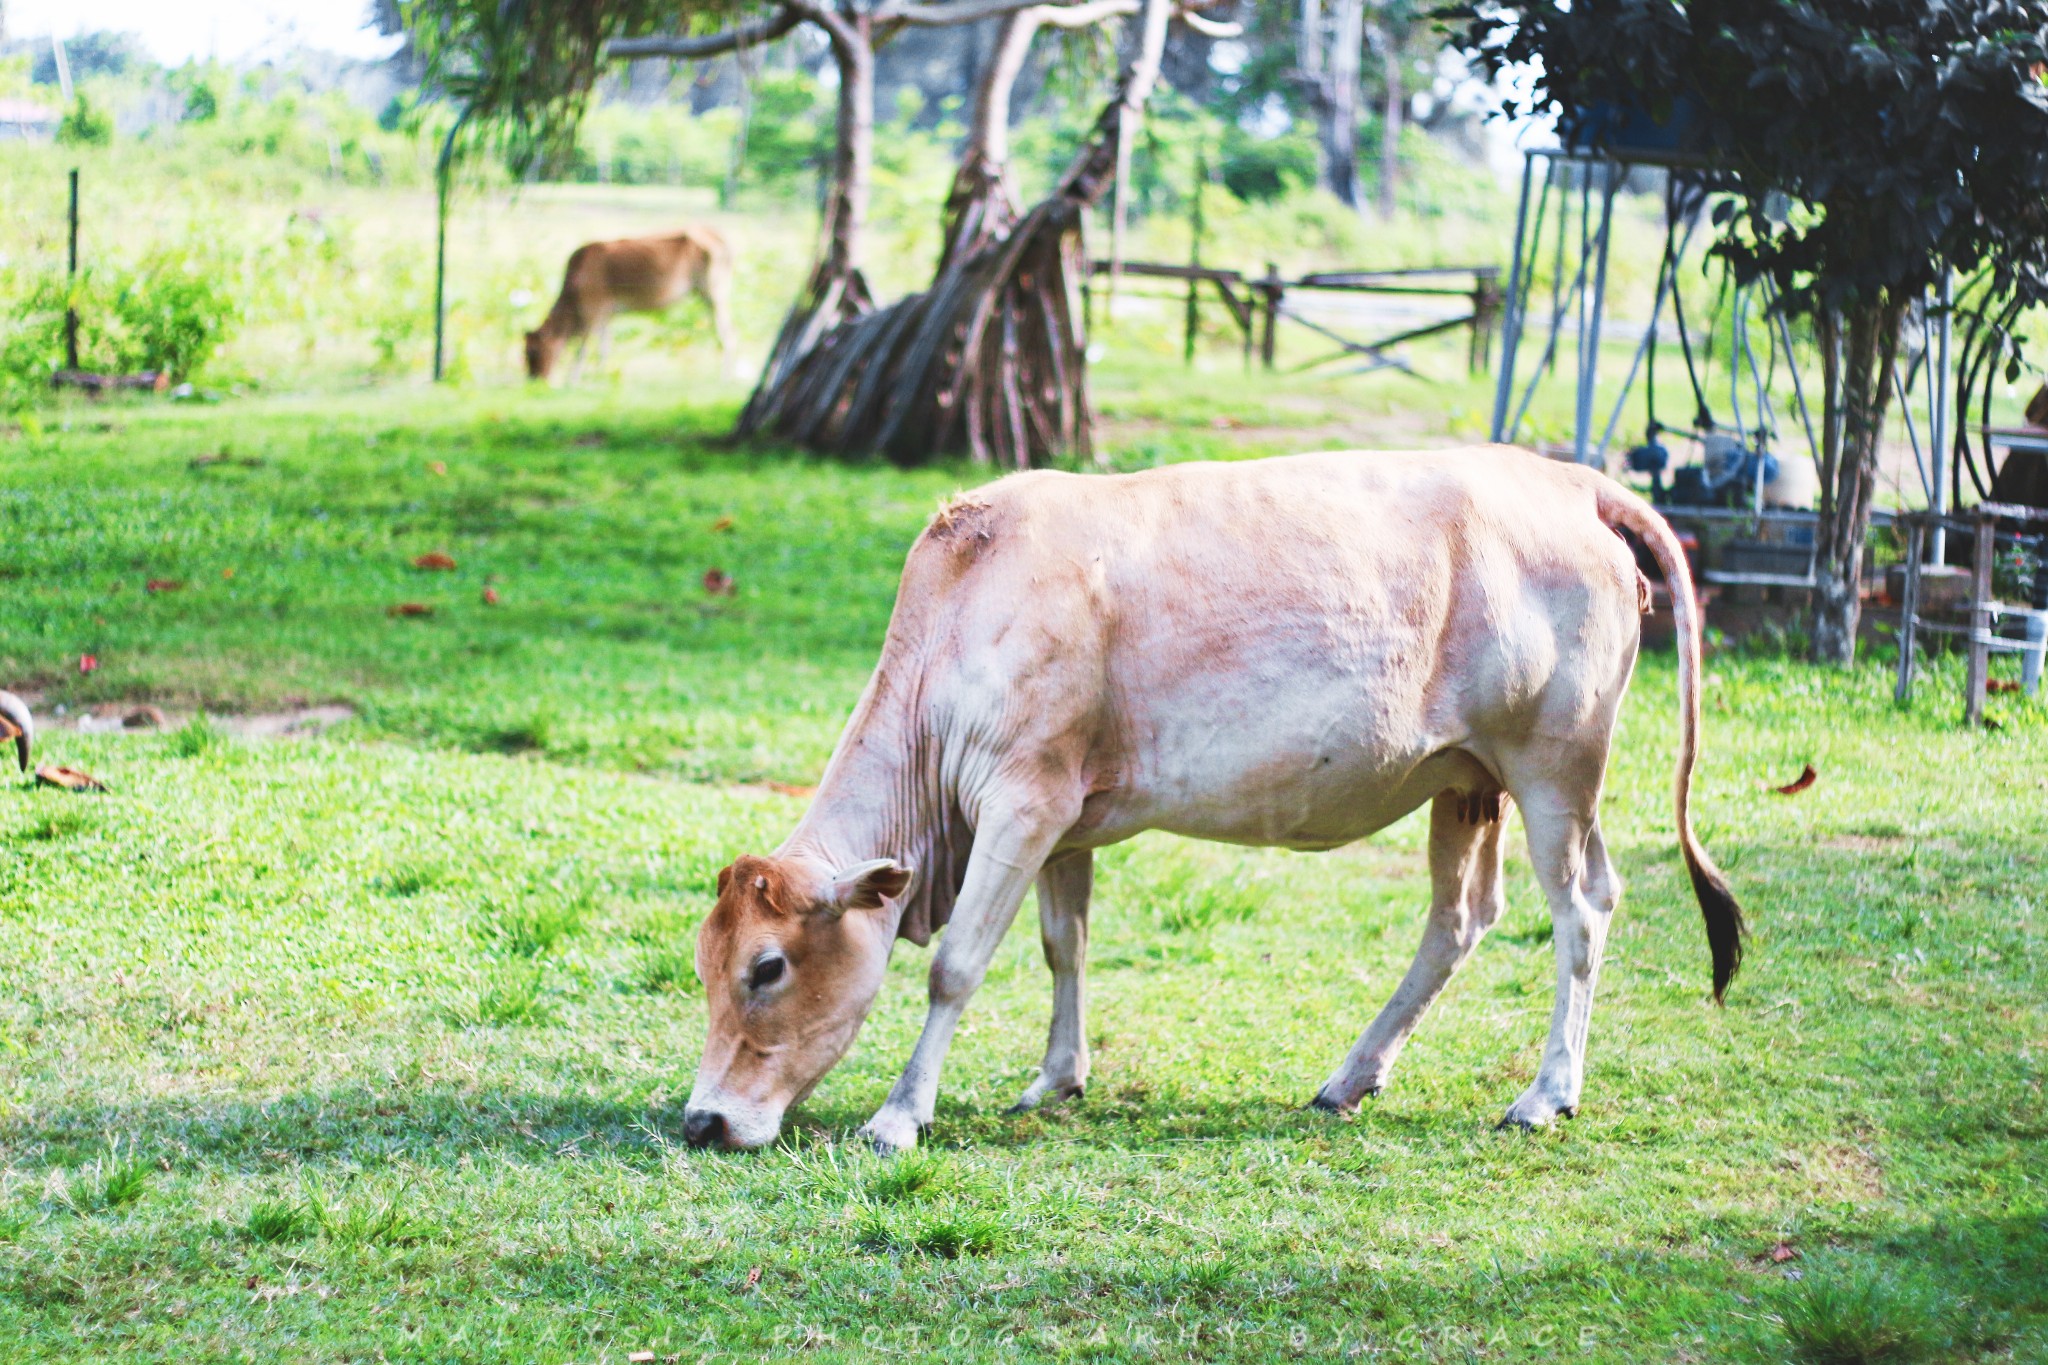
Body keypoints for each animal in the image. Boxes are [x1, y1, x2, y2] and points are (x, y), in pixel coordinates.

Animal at [520, 227, 737, 382]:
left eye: (533, 351)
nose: (533, 380)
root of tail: (718, 235)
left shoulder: (592, 310)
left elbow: (583, 348)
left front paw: (572, 380)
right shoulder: (606, 315)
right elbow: (604, 348)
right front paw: (600, 376)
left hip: (715, 294)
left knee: (728, 333)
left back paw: (725, 378)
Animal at [688, 448, 1744, 1154]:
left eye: (767, 967)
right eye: (706, 965)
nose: (703, 1119)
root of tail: (1567, 480)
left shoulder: (1024, 799)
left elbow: (956, 967)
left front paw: (900, 1115)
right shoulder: (1064, 818)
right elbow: (1063, 945)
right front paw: (1056, 1077)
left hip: (1555, 768)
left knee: (1582, 908)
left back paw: (1544, 1093)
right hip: (1466, 777)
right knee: (1460, 917)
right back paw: (1351, 1076)